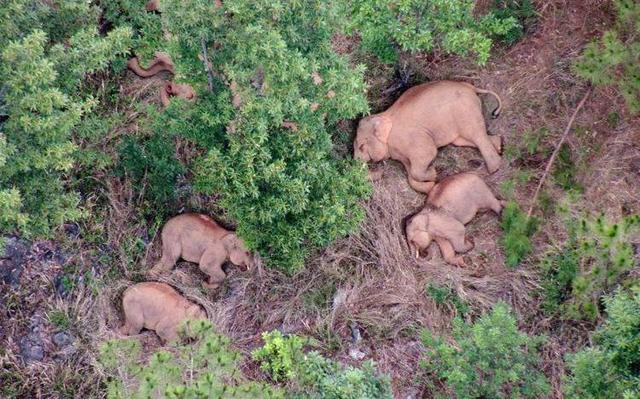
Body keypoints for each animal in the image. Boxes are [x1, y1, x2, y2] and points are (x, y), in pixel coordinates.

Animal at [352, 81, 502, 194]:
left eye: (361, 146)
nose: (382, 173)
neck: (382, 115)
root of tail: (471, 87)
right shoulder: (400, 153)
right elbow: (410, 173)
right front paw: (431, 185)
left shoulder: (410, 138)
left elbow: (426, 155)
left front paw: (434, 173)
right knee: (463, 140)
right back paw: (499, 145)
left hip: (465, 110)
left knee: (476, 134)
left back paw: (494, 168)